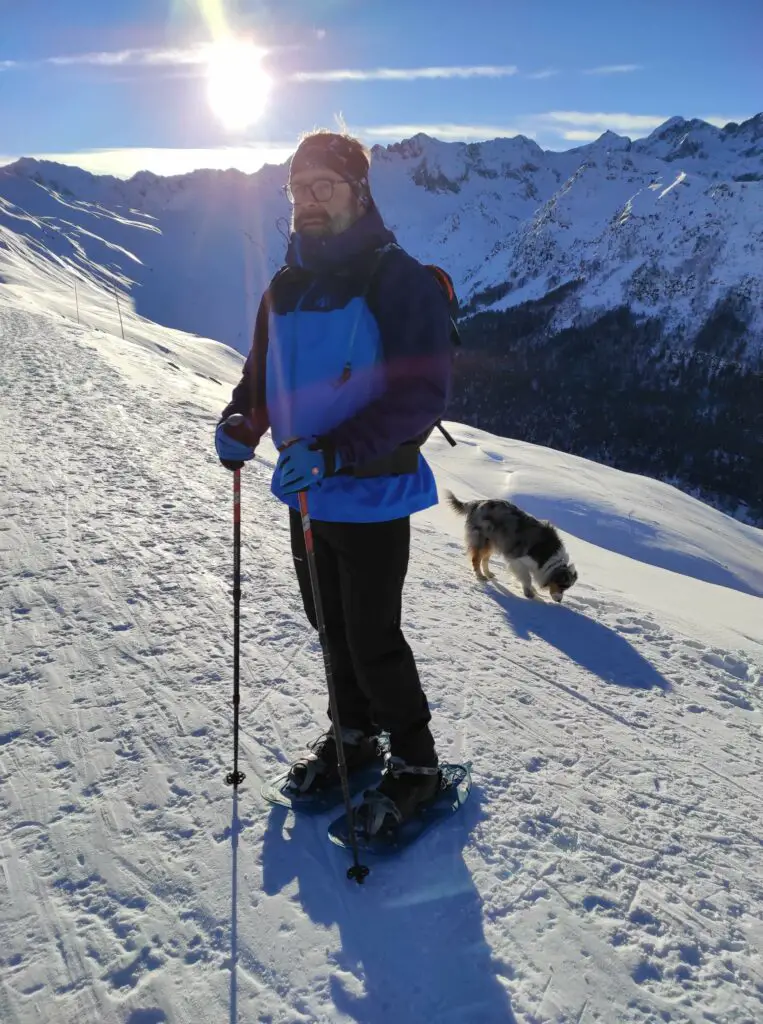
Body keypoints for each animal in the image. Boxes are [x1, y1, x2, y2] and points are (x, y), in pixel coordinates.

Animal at [444, 493, 573, 598]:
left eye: (566, 587)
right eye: (562, 586)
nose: (559, 600)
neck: (549, 558)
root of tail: (477, 503)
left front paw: (531, 589)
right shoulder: (517, 560)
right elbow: (527, 577)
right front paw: (529, 592)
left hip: (493, 542)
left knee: (485, 559)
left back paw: (488, 573)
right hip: (482, 539)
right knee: (476, 559)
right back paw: (480, 576)